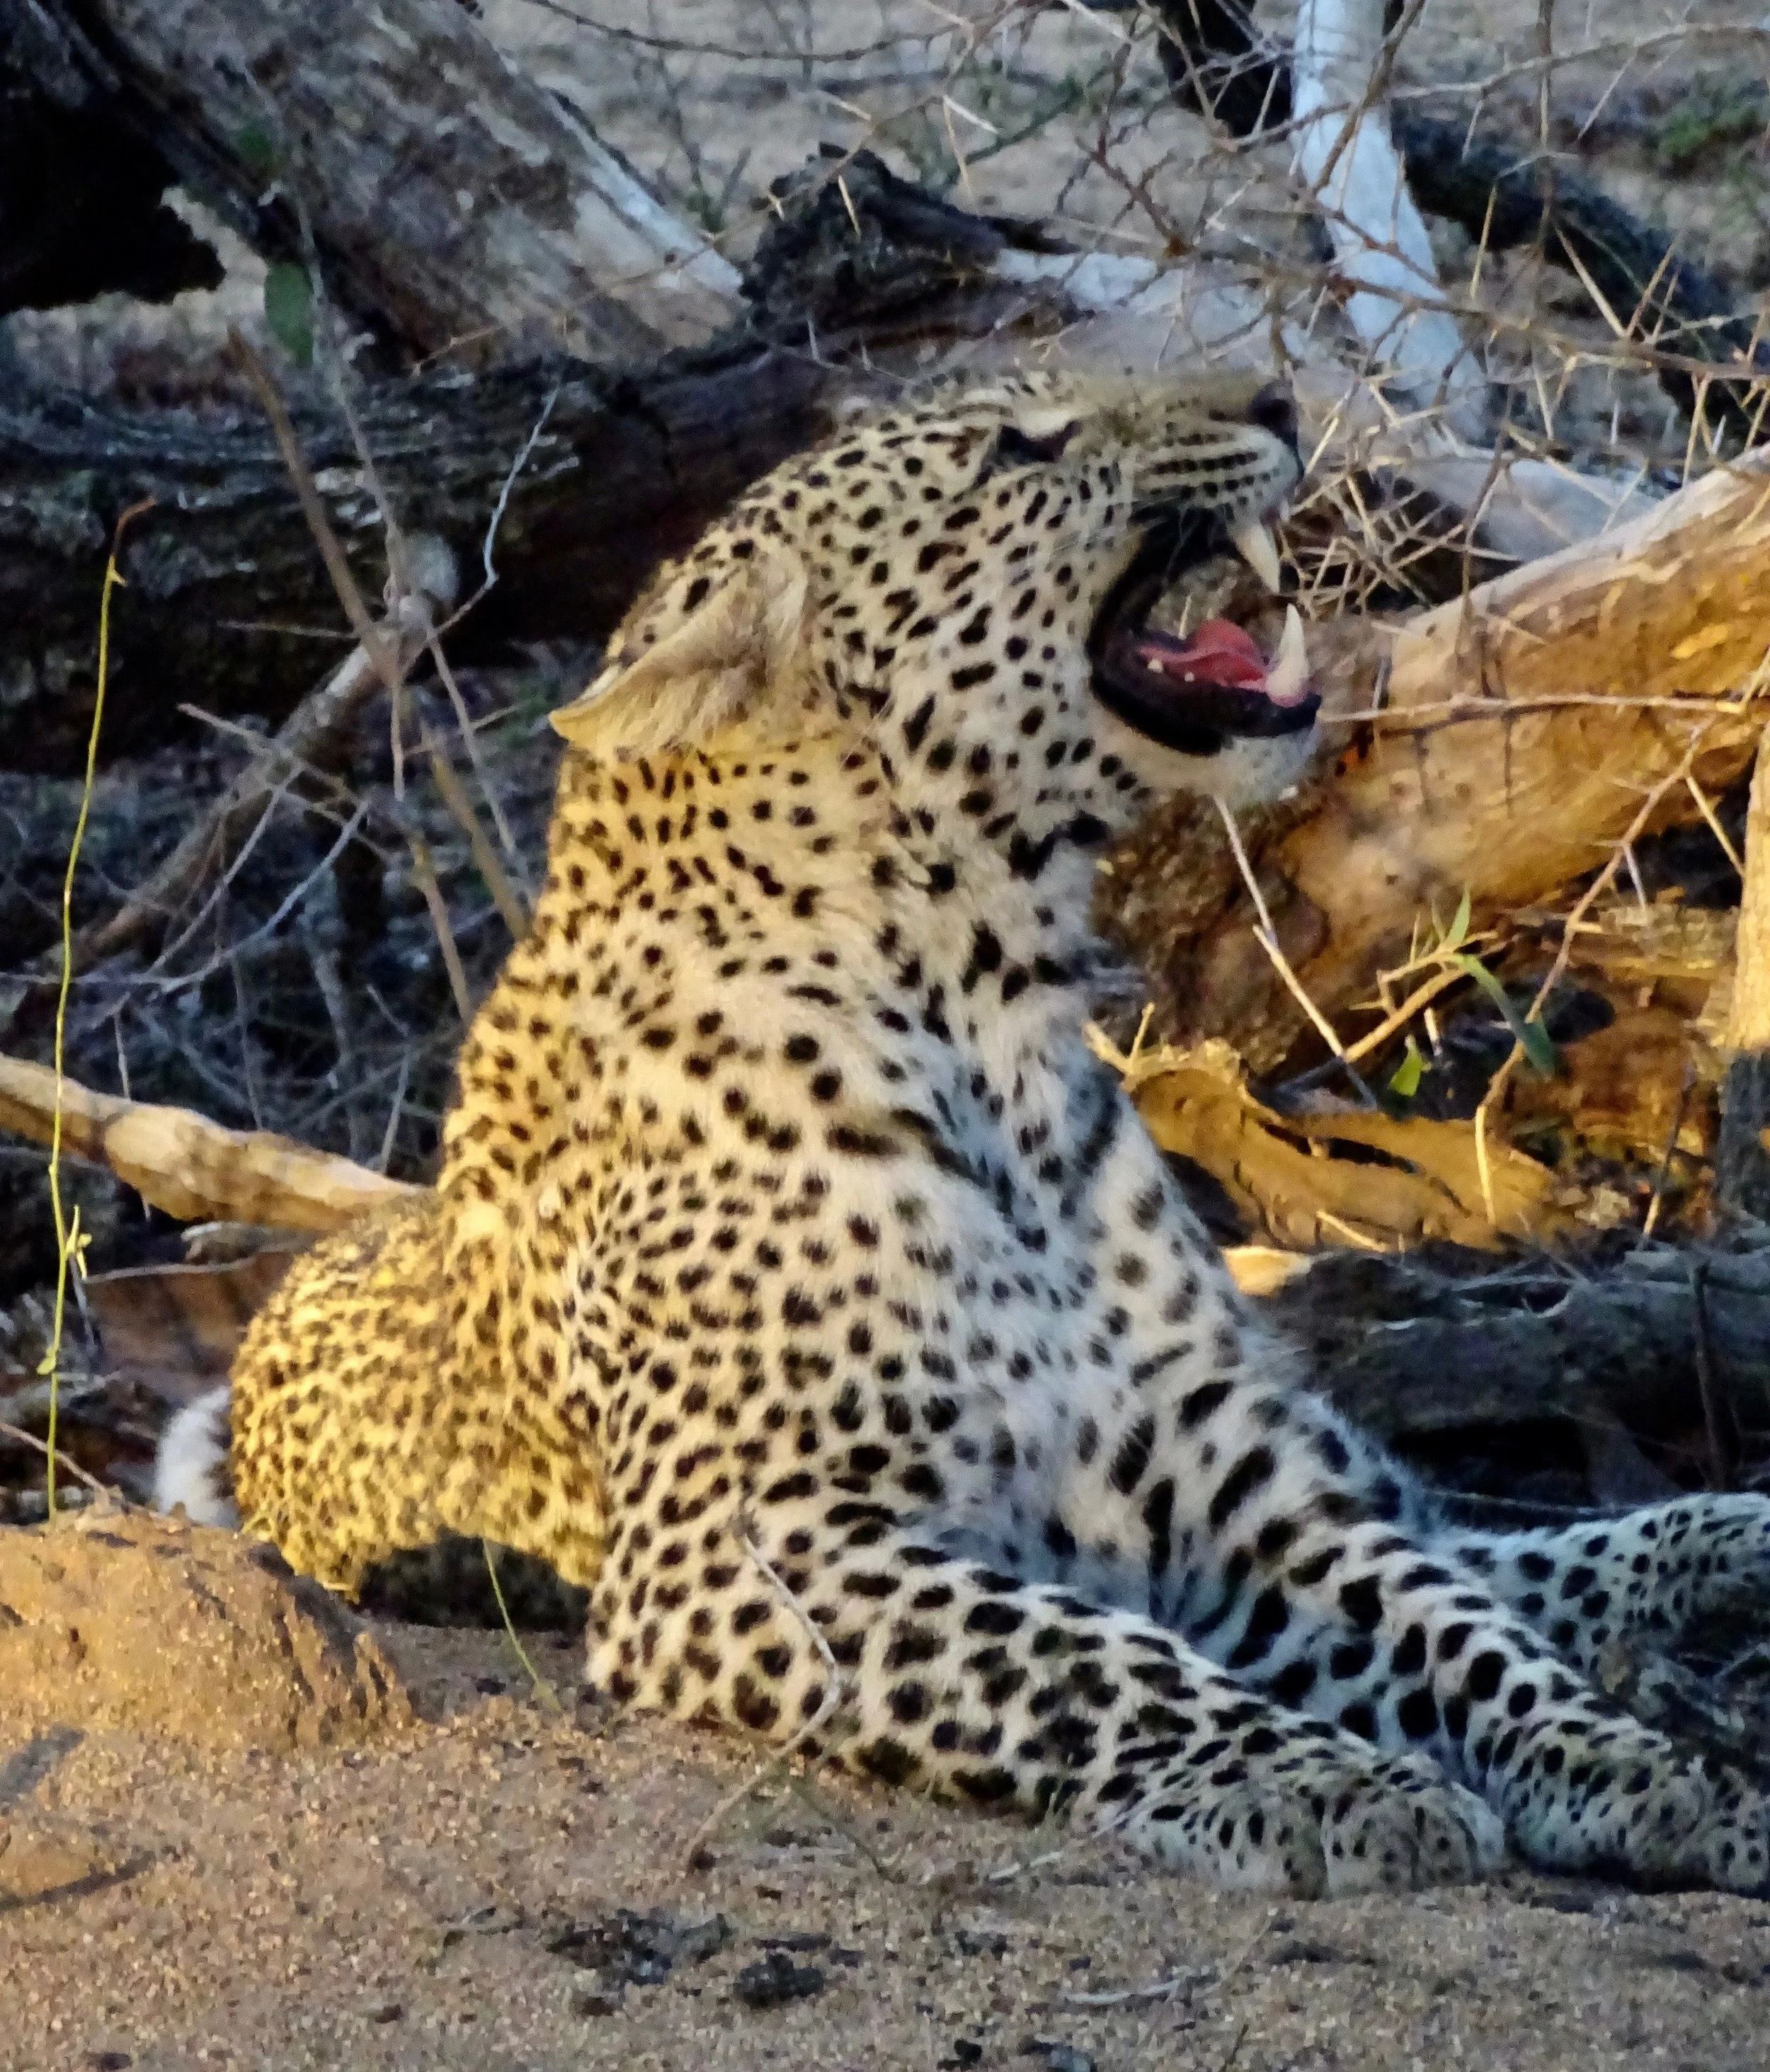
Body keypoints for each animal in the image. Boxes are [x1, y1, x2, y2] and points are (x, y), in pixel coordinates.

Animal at [156, 366, 1770, 1899]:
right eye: (1021, 445)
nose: (1274, 398)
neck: (986, 1005)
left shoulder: (1233, 1479)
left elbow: (1452, 1628)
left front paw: (1649, 1772)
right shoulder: (744, 1542)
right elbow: (1092, 1659)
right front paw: (1328, 1779)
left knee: (1477, 1540)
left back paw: (1730, 1539)